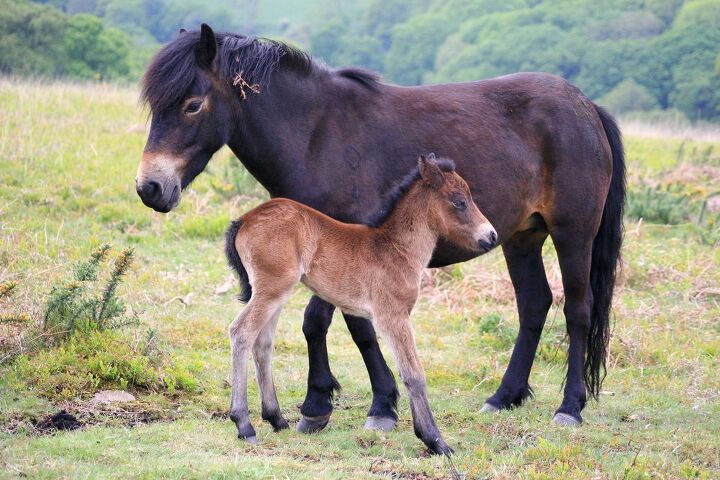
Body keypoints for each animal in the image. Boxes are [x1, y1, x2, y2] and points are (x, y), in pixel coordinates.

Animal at [224, 156, 496, 456]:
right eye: (459, 201)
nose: (491, 236)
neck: (395, 249)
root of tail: (244, 220)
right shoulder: (393, 316)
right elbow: (414, 374)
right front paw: (435, 440)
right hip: (272, 289)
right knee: (241, 332)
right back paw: (244, 425)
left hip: (274, 292)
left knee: (262, 343)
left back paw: (276, 418)